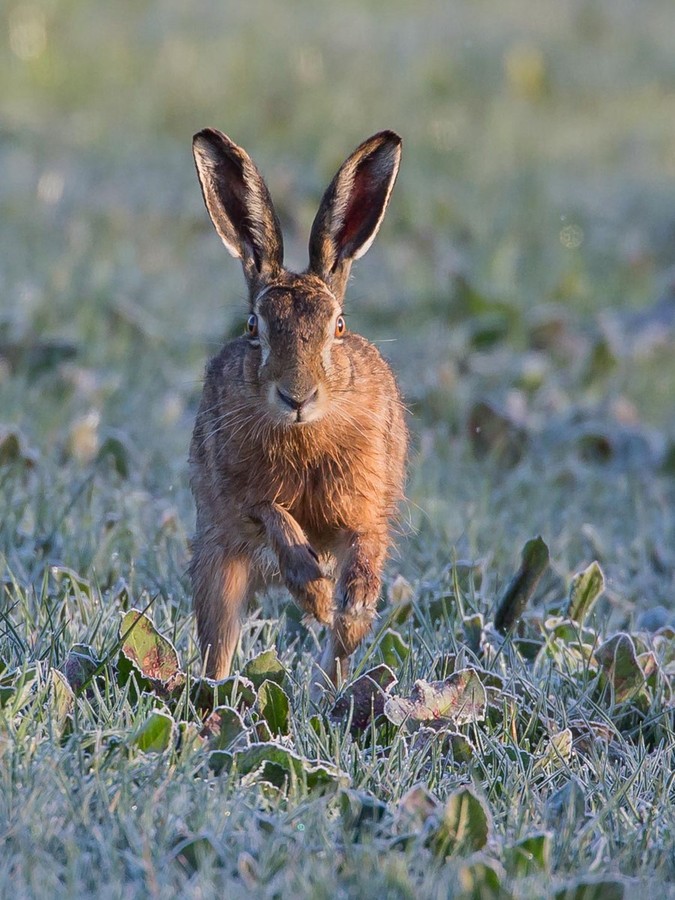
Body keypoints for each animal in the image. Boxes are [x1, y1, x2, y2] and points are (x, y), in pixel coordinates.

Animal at [189, 127, 408, 693]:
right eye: (253, 326)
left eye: (338, 326)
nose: (297, 397)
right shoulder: (243, 499)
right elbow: (276, 516)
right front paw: (315, 594)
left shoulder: (368, 509)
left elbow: (366, 548)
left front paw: (350, 610)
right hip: (218, 566)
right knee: (218, 641)